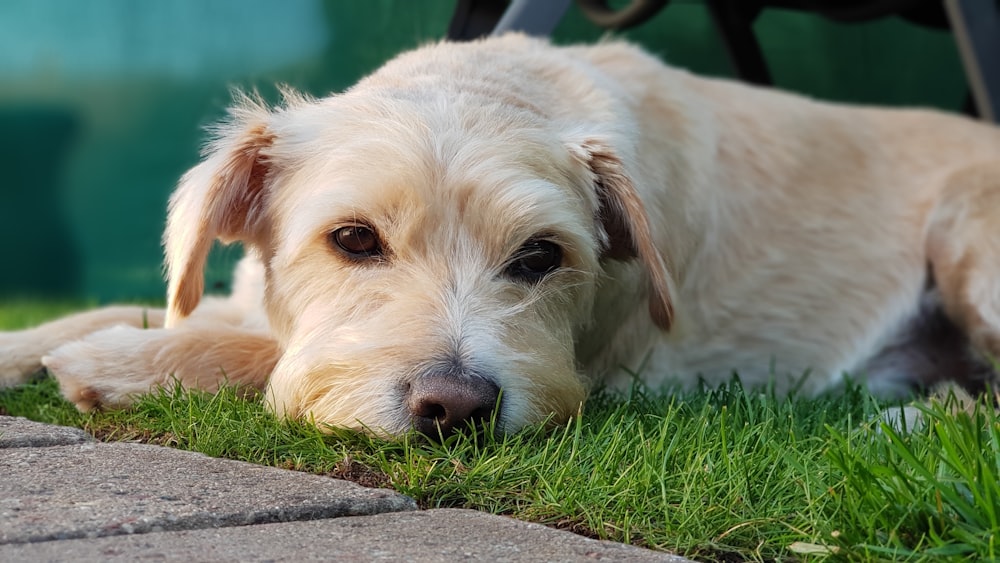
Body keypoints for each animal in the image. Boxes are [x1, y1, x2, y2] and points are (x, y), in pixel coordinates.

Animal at [1, 35, 1000, 438]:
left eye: (540, 257)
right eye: (353, 239)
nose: (456, 406)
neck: (486, 83)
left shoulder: (589, 364)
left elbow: (265, 357)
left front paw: (112, 365)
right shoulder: (245, 297)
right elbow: (138, 312)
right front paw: (37, 343)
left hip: (969, 236)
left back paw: (913, 417)